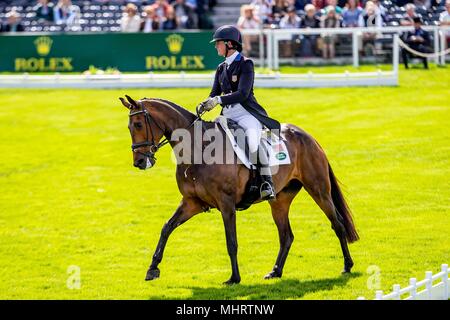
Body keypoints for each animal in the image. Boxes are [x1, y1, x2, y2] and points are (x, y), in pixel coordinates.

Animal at [118, 94, 358, 284]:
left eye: (138, 124)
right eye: (129, 127)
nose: (140, 162)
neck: (198, 149)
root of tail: (307, 136)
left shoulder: (226, 204)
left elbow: (231, 242)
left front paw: (234, 278)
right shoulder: (192, 203)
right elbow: (166, 228)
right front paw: (152, 269)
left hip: (318, 190)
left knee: (337, 223)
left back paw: (347, 265)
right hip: (280, 199)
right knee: (286, 236)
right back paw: (275, 271)